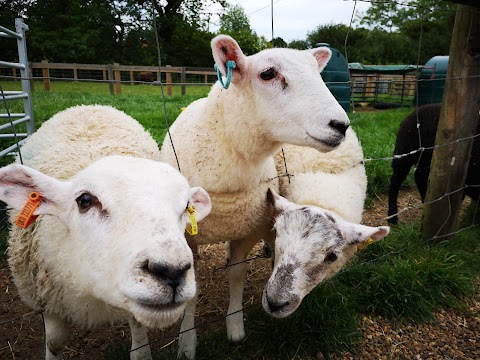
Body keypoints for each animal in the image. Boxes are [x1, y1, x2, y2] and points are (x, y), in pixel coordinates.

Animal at [0, 105, 211, 360]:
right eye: (85, 200)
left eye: (186, 207)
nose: (172, 272)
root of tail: (86, 107)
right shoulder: (47, 299)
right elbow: (55, 342)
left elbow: (139, 342)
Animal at [159, 34, 350, 358]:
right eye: (268, 74)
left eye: (318, 72)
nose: (341, 125)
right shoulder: (186, 237)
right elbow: (190, 287)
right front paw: (186, 341)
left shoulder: (246, 229)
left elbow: (237, 275)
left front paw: (235, 327)